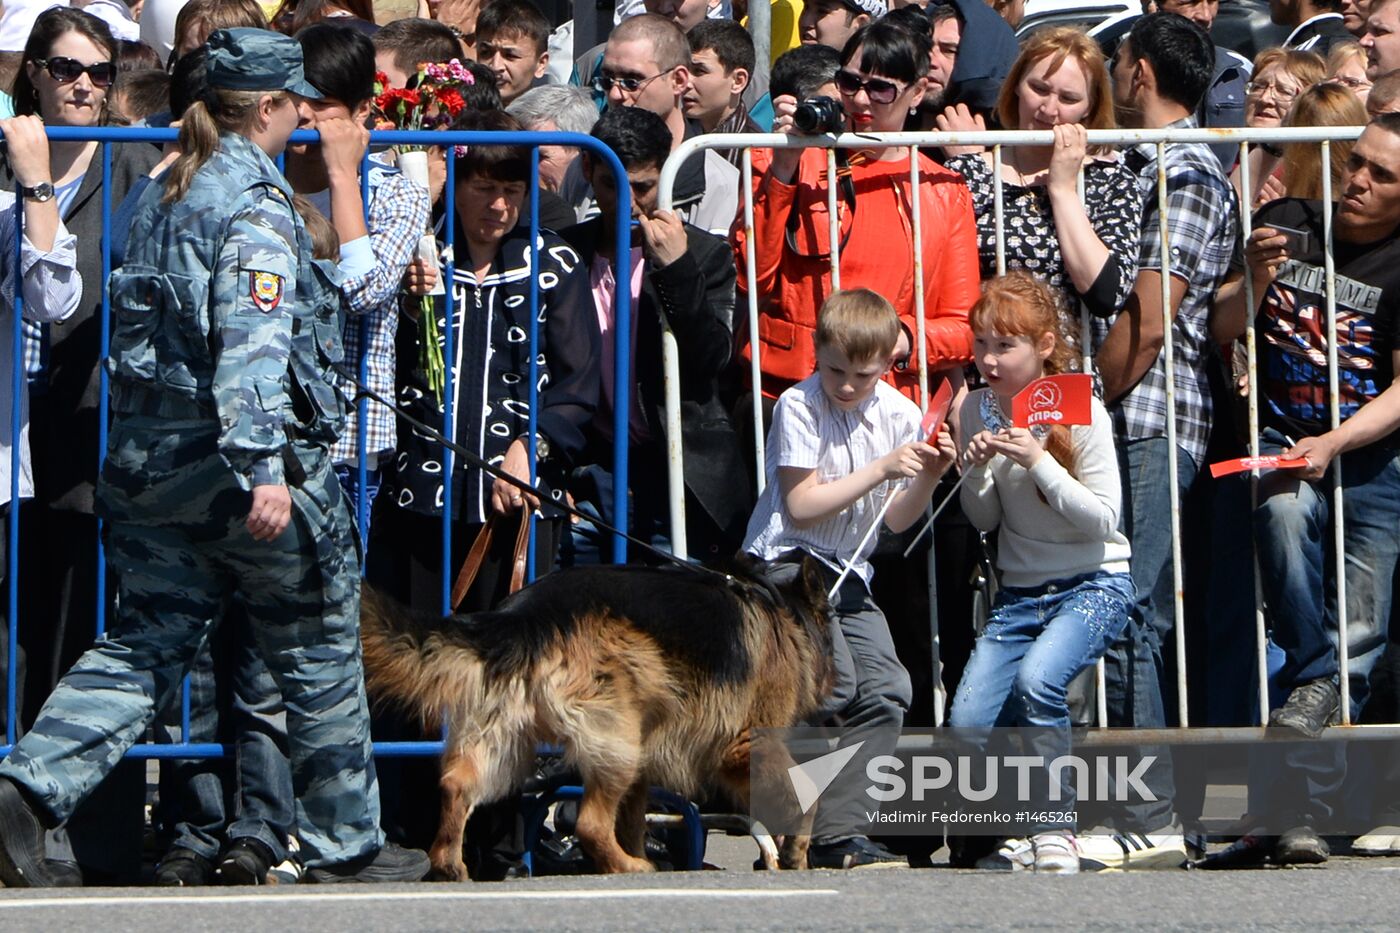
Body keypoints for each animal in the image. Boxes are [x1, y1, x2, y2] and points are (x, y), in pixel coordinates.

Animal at [358, 554, 828, 874]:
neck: (780, 605)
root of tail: (525, 614)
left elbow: (635, 820)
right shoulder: (750, 745)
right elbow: (808, 793)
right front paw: (795, 852)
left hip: (510, 740)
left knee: (457, 786)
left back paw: (450, 863)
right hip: (618, 741)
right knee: (590, 824)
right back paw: (628, 867)